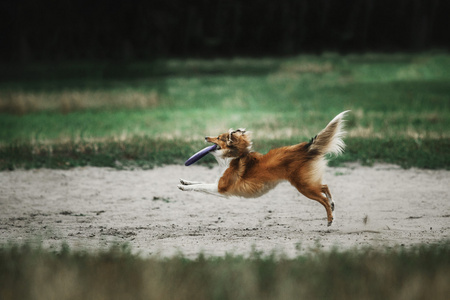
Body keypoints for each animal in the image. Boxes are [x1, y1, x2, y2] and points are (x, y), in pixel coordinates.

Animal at [178, 110, 350, 225]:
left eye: (219, 138)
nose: (206, 137)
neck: (234, 156)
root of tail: (306, 147)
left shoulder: (221, 188)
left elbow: (200, 186)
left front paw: (184, 187)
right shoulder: (218, 184)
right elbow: (198, 183)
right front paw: (184, 181)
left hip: (303, 186)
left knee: (323, 198)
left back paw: (330, 219)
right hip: (307, 182)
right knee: (325, 186)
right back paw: (333, 204)